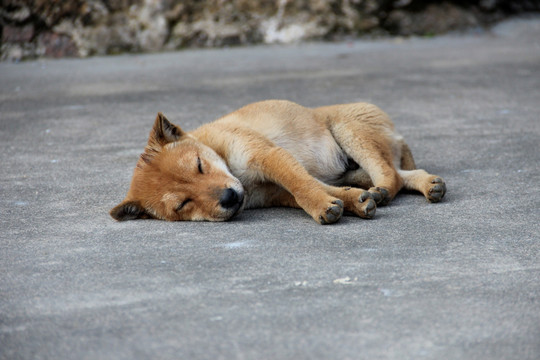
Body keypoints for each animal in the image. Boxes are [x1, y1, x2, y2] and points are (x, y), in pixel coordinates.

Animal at [110, 100, 448, 224]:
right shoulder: (274, 192)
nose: (229, 198)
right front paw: (352, 203)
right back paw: (428, 185)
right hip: (356, 168)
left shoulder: (270, 157)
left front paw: (322, 207)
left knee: (391, 174)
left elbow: (303, 186)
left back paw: (386, 191)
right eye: (183, 204)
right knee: (403, 173)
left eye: (199, 165)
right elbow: (311, 190)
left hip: (351, 133)